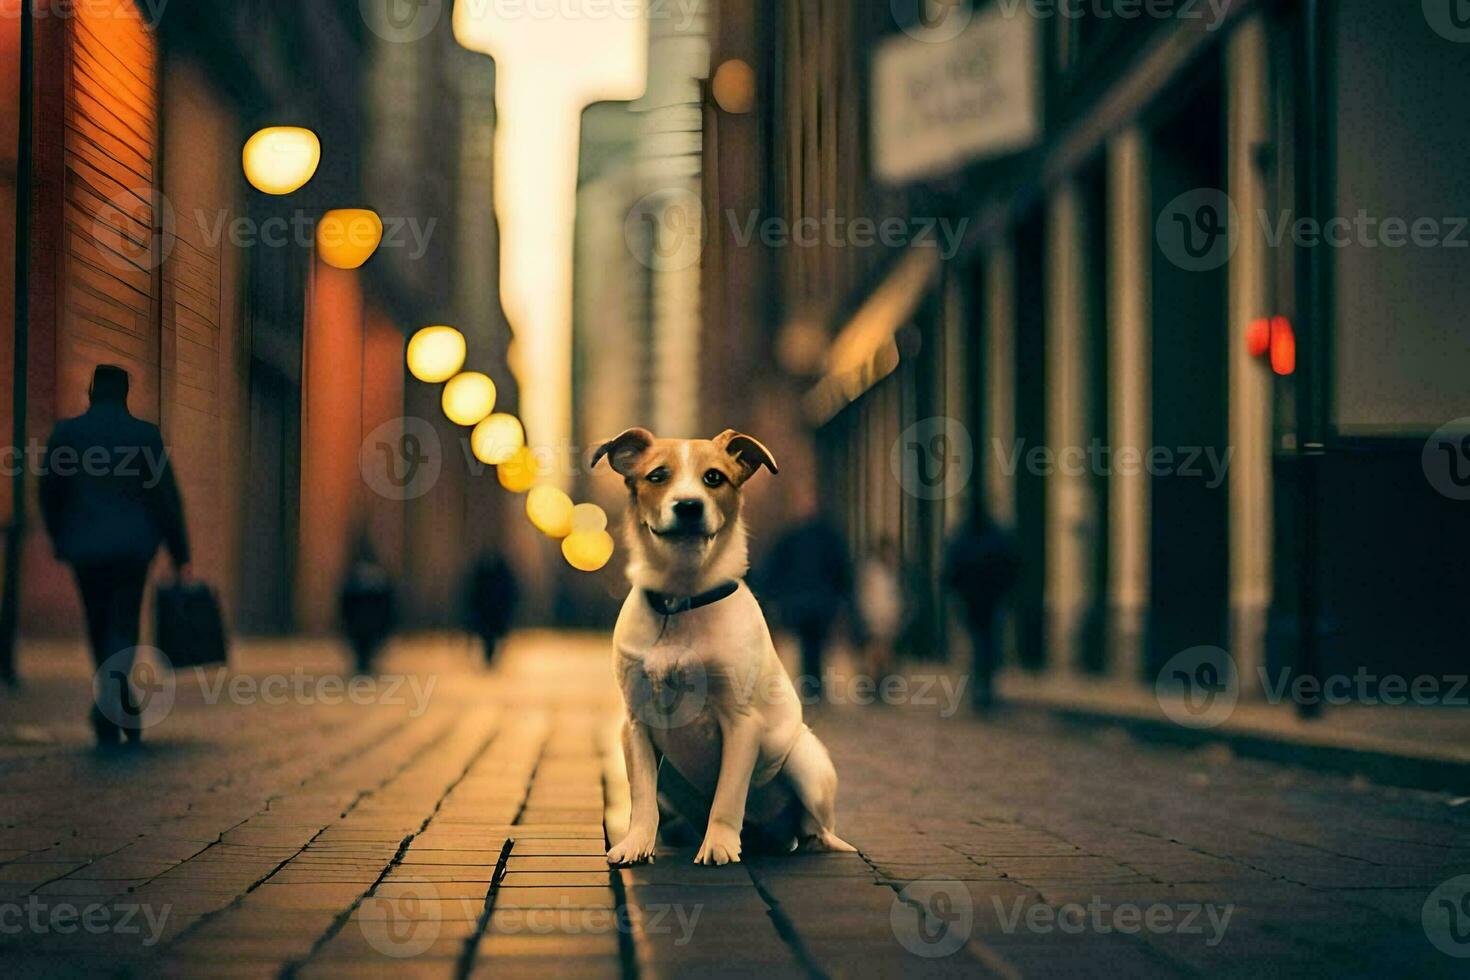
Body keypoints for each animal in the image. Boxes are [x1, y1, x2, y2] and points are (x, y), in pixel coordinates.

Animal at [590, 429, 858, 863]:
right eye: (657, 475)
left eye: (714, 477)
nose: (688, 506)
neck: (681, 598)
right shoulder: (635, 723)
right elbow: (641, 795)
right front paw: (636, 844)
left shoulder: (742, 723)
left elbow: (729, 795)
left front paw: (718, 846)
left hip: (805, 761)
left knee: (814, 825)